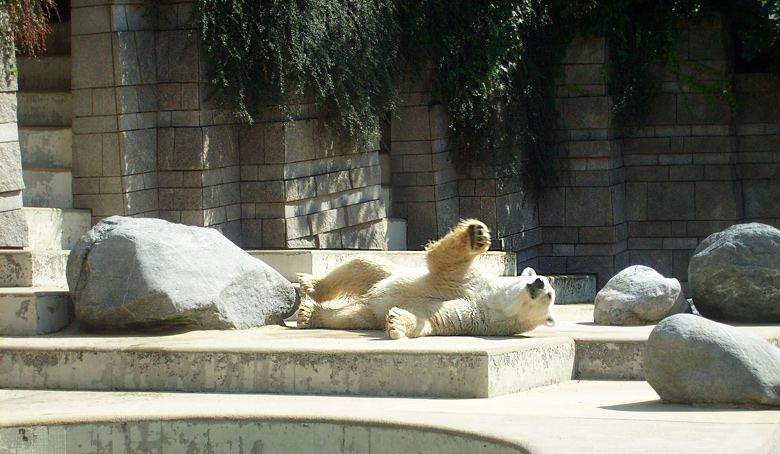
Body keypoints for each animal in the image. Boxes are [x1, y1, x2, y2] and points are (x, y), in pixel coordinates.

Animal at [294, 218, 556, 338]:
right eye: (543, 280)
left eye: (549, 296)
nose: (539, 283)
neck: (492, 300)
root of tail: (368, 297)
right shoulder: (473, 281)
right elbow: (448, 260)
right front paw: (477, 235)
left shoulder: (474, 317)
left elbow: (434, 319)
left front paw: (397, 321)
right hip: (387, 273)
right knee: (359, 265)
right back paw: (310, 284)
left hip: (369, 309)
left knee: (353, 316)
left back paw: (309, 314)